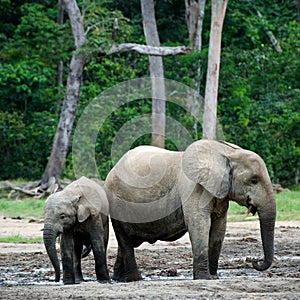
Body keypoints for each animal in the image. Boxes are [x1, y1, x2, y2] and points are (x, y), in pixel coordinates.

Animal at [105, 139, 276, 282]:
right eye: (254, 180)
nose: (254, 260)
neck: (226, 153)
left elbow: (219, 228)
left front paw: (214, 277)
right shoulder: (193, 187)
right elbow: (199, 224)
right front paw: (204, 278)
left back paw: (119, 278)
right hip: (116, 201)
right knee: (125, 239)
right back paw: (135, 279)